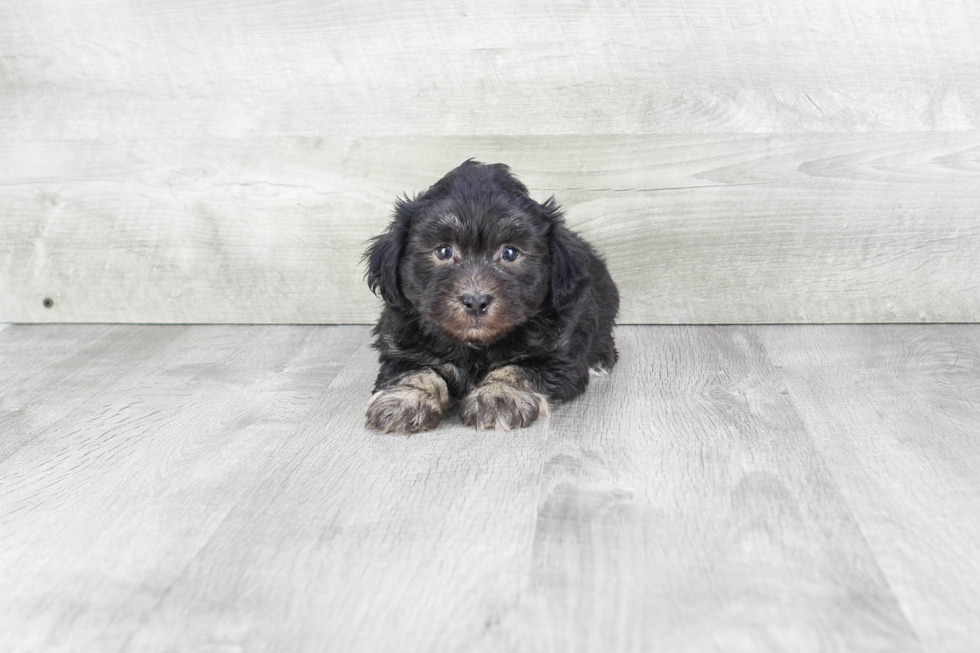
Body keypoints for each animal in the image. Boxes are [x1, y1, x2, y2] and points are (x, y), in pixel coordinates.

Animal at [360, 159, 620, 432]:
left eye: (509, 253)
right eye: (444, 251)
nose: (475, 301)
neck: (474, 345)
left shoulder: (560, 353)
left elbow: (518, 369)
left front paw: (498, 396)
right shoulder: (399, 342)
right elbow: (415, 369)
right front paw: (405, 398)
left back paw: (600, 361)